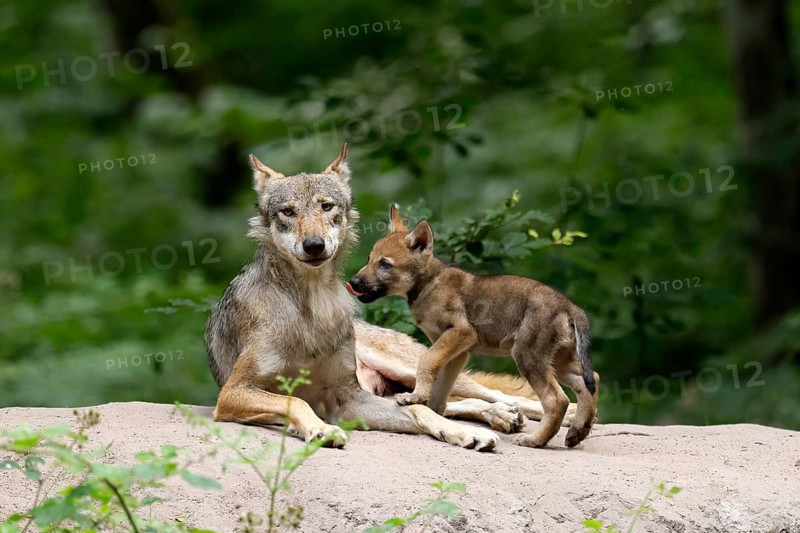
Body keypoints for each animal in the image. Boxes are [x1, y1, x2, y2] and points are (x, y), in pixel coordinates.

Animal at [205, 144, 573, 451]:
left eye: (327, 207)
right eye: (288, 212)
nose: (313, 245)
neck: (314, 306)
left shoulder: (348, 397)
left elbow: (421, 414)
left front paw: (464, 433)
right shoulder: (232, 393)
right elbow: (297, 402)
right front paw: (320, 429)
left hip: (408, 366)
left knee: (484, 395)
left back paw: (540, 416)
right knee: (448, 402)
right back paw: (503, 417)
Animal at [347, 205, 600, 448]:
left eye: (384, 264)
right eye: (369, 259)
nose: (353, 282)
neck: (430, 284)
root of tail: (571, 308)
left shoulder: (460, 334)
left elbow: (427, 366)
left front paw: (418, 400)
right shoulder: (457, 352)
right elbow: (437, 400)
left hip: (525, 359)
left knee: (544, 399)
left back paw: (536, 436)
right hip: (556, 363)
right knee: (590, 380)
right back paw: (574, 428)